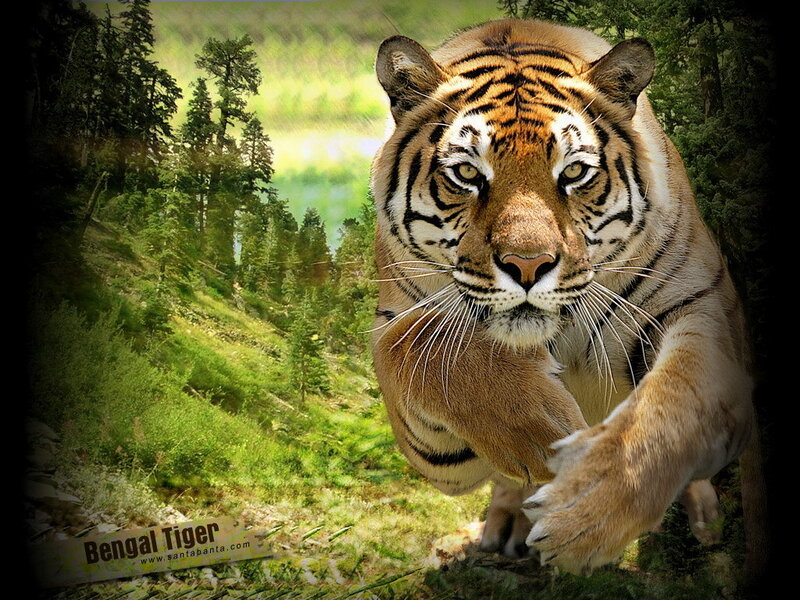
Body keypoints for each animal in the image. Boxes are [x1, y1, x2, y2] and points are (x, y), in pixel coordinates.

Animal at [369, 18, 761, 575]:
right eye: (467, 174)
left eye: (573, 173)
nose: (527, 265)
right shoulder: (422, 402)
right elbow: (415, 345)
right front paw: (542, 433)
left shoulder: (704, 307)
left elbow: (673, 403)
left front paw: (584, 511)